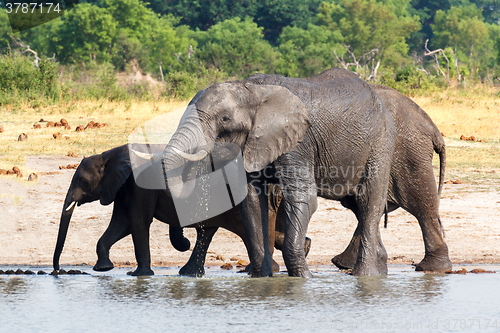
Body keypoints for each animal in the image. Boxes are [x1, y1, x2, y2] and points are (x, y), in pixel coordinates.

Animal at [52, 144, 306, 276]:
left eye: (83, 182)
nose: (56, 271)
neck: (109, 155)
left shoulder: (141, 187)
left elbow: (137, 222)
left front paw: (139, 276)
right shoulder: (123, 189)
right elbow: (121, 224)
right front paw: (103, 269)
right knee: (211, 231)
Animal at [162, 69, 396, 274]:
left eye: (224, 119)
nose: (185, 241)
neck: (252, 90)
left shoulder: (298, 142)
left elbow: (302, 197)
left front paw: (303, 278)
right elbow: (253, 201)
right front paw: (263, 278)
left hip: (380, 143)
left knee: (368, 201)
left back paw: (366, 275)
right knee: (360, 206)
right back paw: (379, 270)